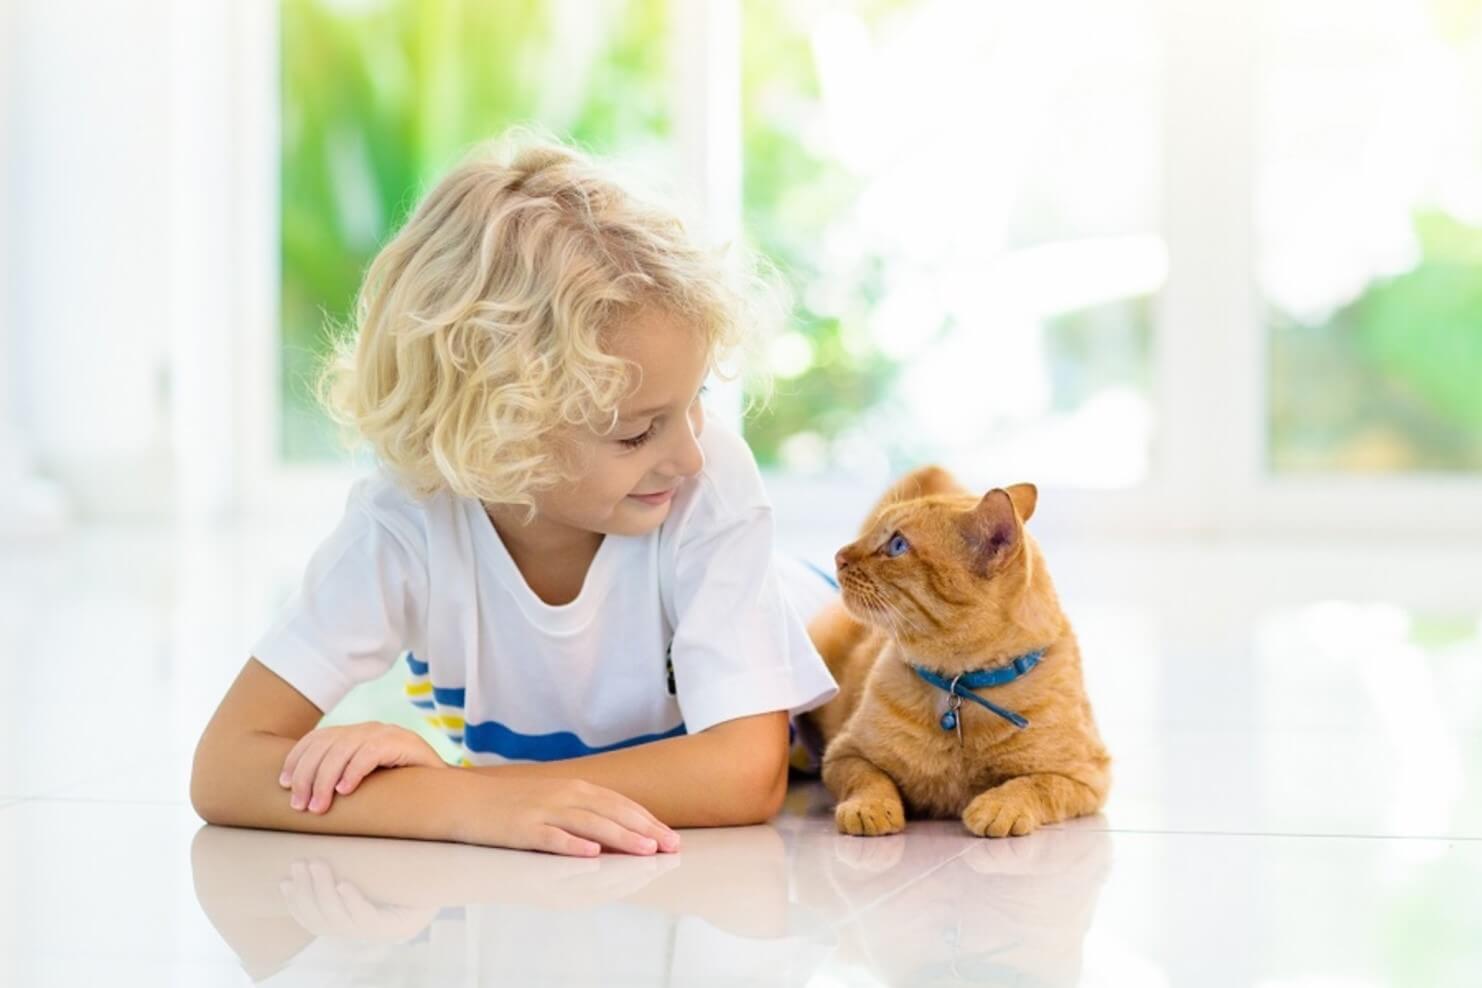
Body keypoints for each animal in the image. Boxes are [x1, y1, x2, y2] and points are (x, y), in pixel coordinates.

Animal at [800, 468, 1114, 841]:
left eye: (897, 545)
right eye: (878, 532)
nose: (839, 556)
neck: (959, 685)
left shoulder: (1086, 777)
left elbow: (1033, 784)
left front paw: (998, 807)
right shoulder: (844, 754)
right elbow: (869, 779)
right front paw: (870, 809)